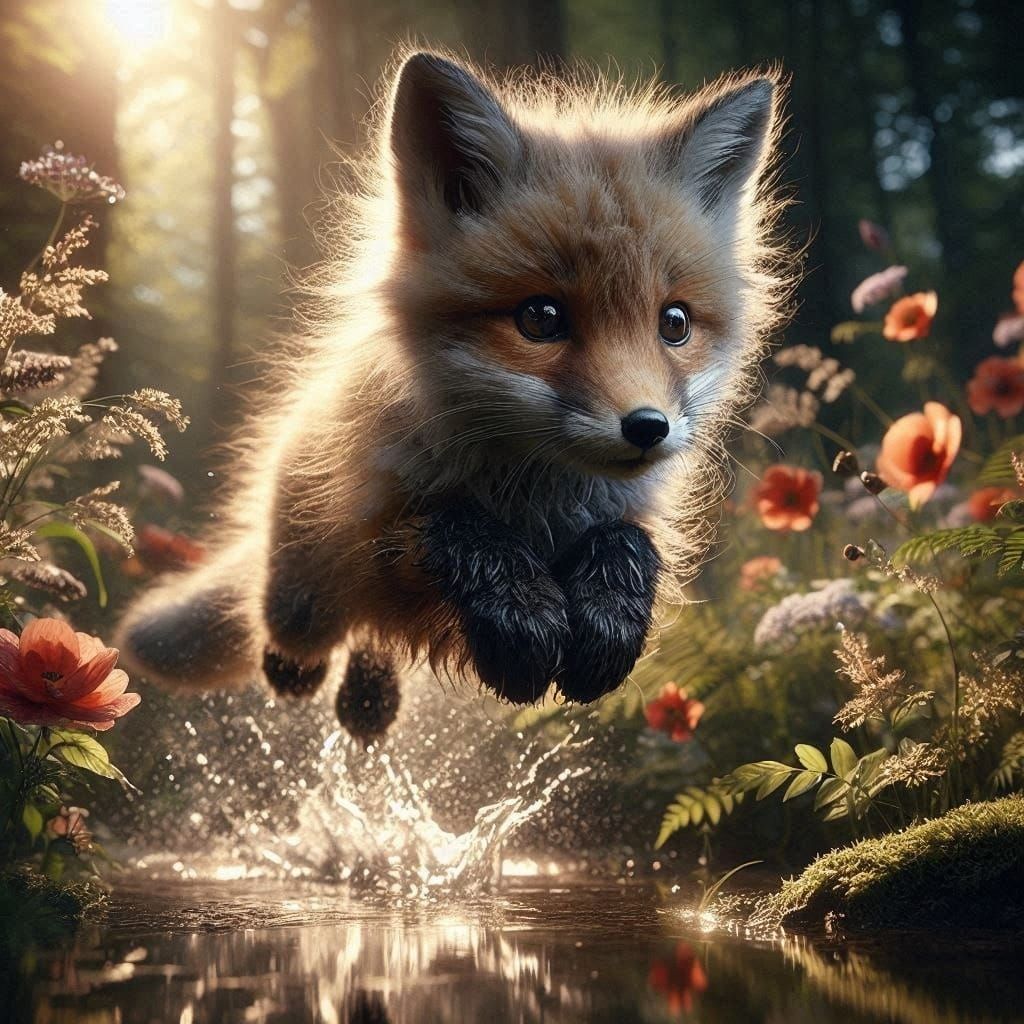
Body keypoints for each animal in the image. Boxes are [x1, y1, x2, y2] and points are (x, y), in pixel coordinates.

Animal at [116, 50, 793, 737]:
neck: (535, 503)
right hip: (302, 599)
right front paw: (520, 615)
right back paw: (310, 672)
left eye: (674, 323)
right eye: (541, 318)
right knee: (303, 640)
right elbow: (454, 526)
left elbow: (627, 543)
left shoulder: (622, 514)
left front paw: (609, 622)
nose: (648, 427)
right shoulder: (379, 534)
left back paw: (367, 699)